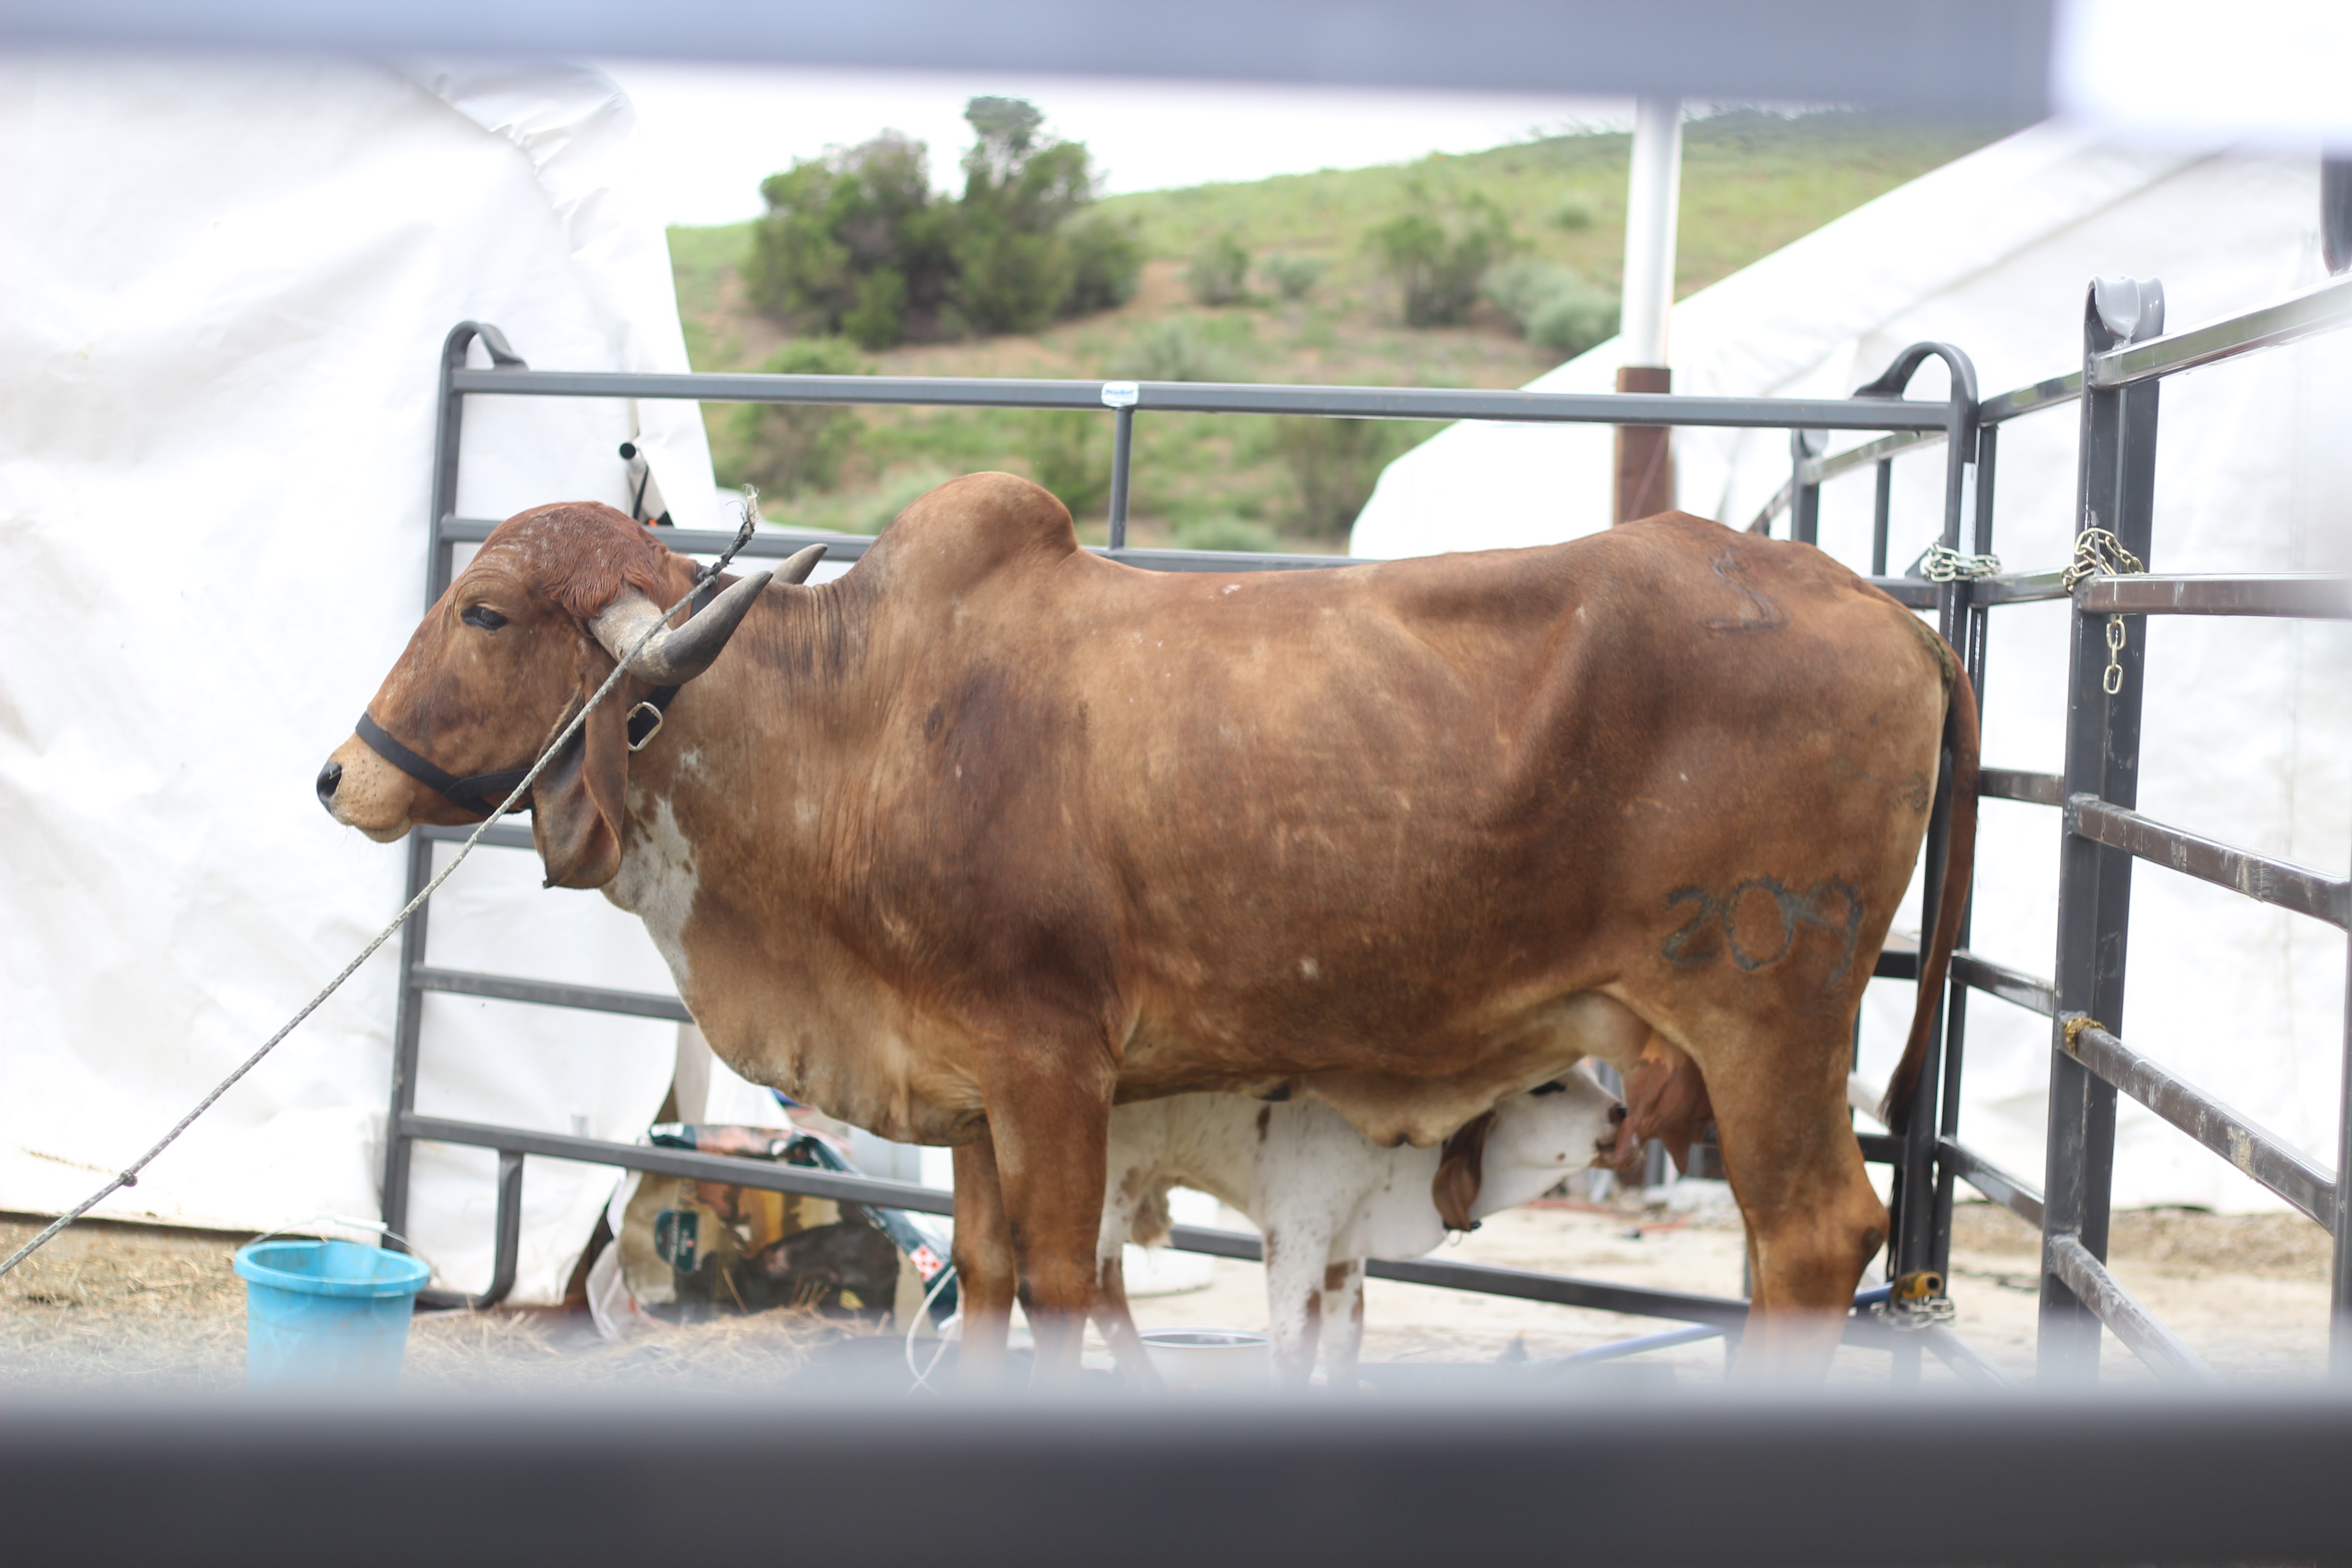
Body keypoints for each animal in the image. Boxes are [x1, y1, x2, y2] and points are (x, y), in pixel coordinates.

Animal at [1094, 1069, 1625, 1389]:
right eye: (1547, 1084)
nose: (1621, 1110)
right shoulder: (1297, 1230)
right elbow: (1295, 1347)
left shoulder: (1344, 1249)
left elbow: (1344, 1342)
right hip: (1113, 1181)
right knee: (1099, 1287)